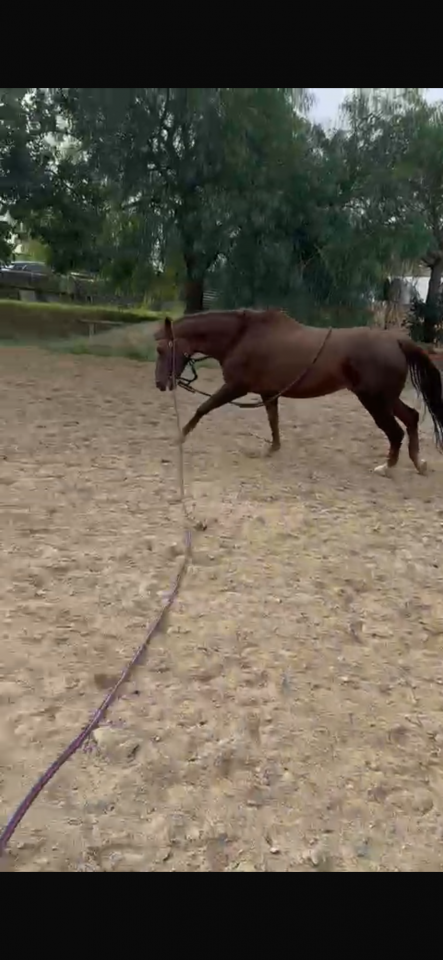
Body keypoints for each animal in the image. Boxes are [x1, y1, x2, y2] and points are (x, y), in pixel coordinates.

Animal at [154, 308, 443, 477]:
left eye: (161, 349)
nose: (160, 383)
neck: (241, 337)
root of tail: (395, 340)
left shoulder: (236, 387)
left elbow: (203, 408)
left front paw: (179, 436)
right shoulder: (268, 392)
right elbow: (273, 420)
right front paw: (273, 449)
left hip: (375, 401)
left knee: (396, 431)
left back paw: (387, 466)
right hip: (386, 399)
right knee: (412, 418)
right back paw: (419, 463)